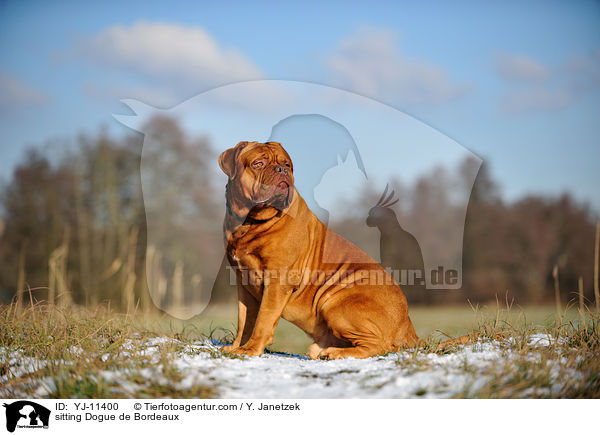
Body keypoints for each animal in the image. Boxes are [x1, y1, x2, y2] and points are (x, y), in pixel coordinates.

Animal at [218, 141, 420, 360]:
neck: (251, 222)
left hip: (336, 305)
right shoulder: (244, 284)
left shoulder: (277, 281)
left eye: (287, 165)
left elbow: (263, 319)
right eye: (258, 164)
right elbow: (245, 320)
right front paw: (237, 347)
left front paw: (250, 349)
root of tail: (407, 325)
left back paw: (335, 353)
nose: (282, 170)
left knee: (378, 344)